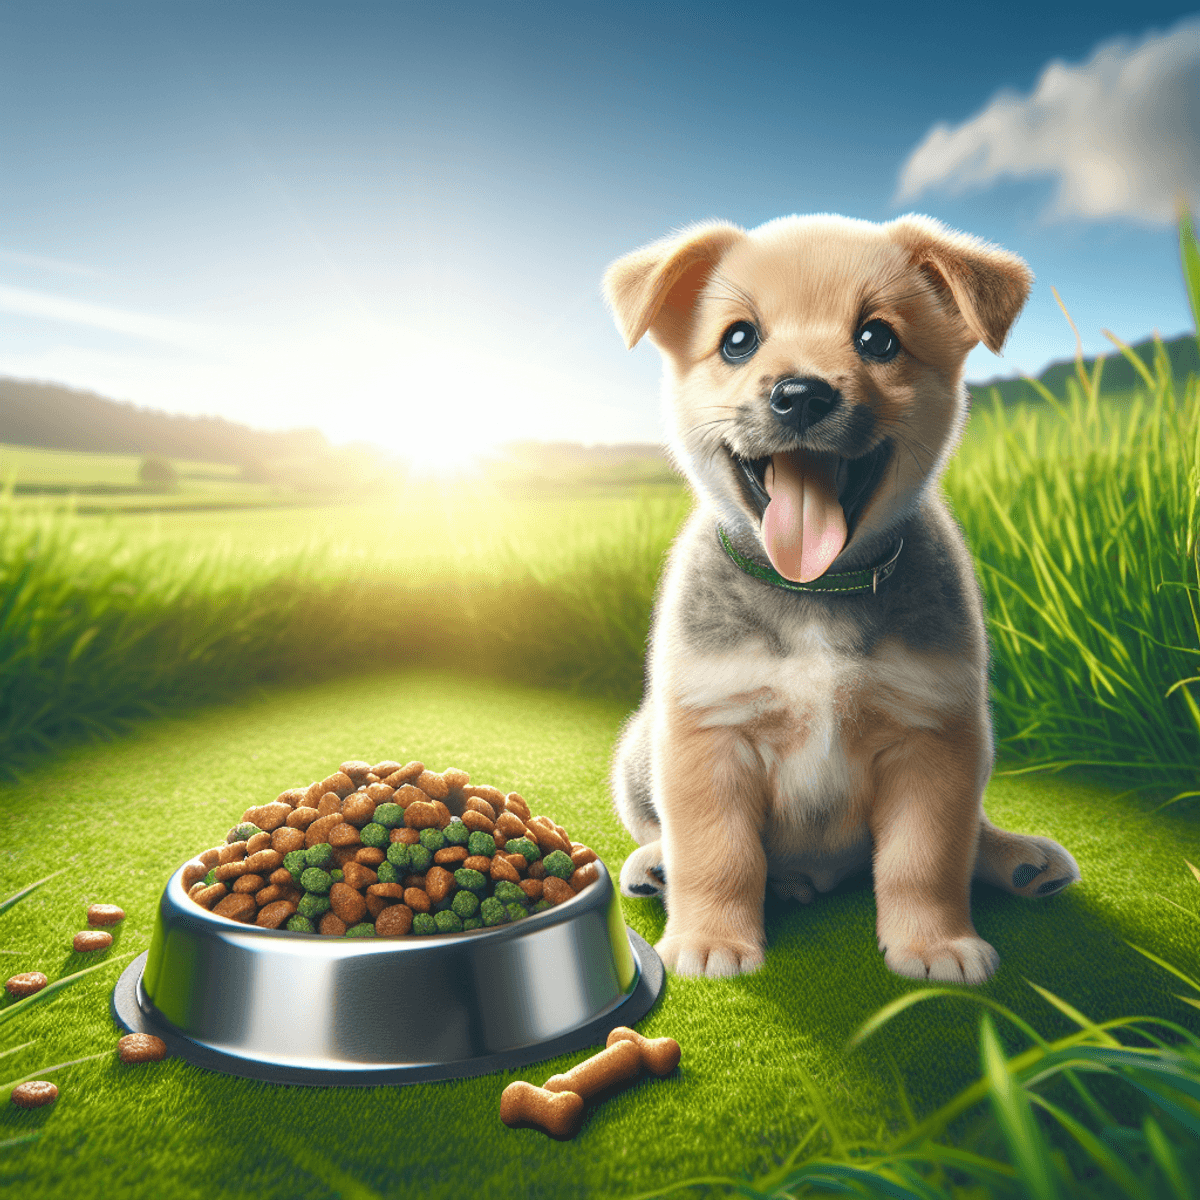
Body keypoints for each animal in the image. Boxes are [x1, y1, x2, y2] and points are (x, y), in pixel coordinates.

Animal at [604, 213, 1084, 984]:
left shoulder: (932, 739)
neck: (815, 595)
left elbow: (925, 860)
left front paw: (934, 943)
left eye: (878, 338)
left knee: (967, 833)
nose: (801, 394)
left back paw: (1015, 859)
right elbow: (718, 853)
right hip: (640, 749)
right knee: (665, 831)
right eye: (738, 339)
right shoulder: (711, 735)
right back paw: (657, 867)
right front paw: (711, 937)